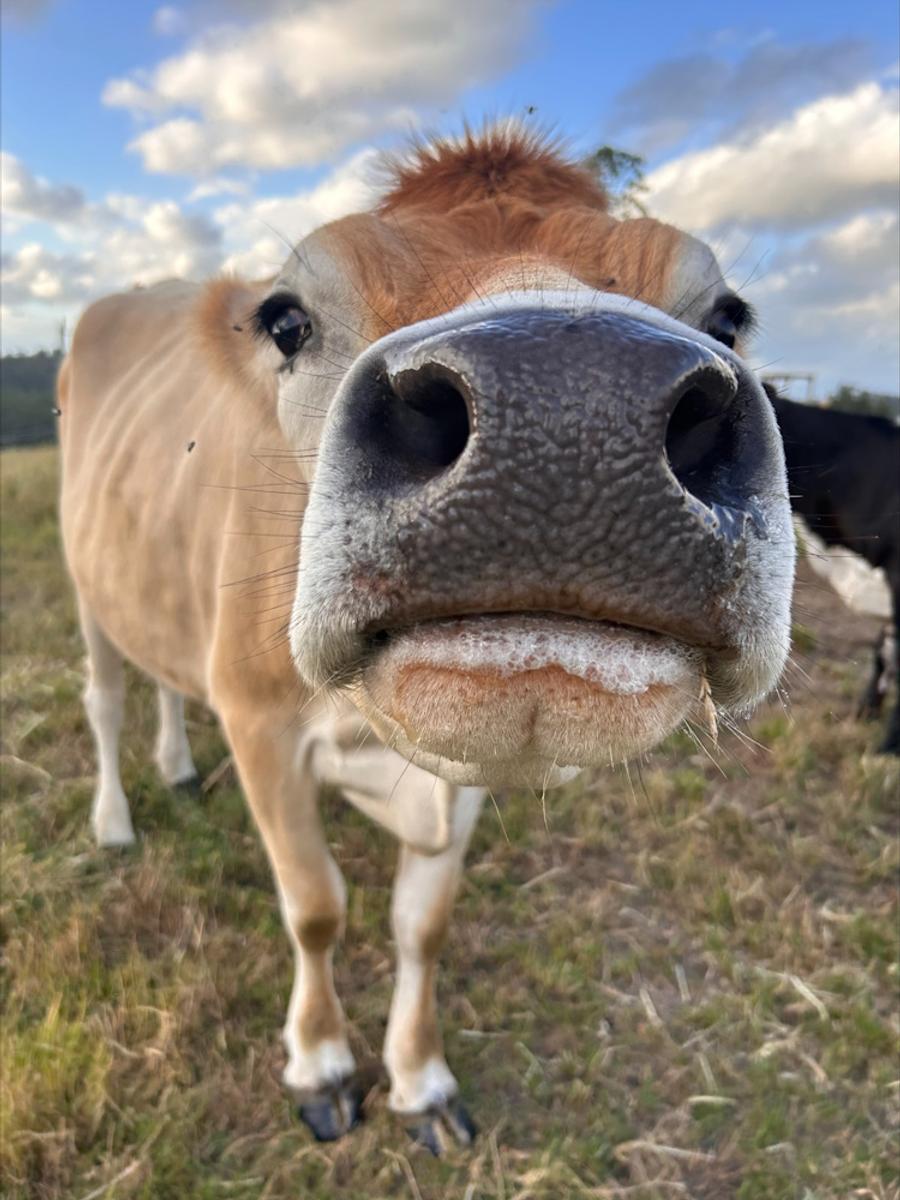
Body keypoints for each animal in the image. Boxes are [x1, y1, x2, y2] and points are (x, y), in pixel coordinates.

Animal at [58, 126, 795, 1151]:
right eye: (286, 321)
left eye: (726, 318)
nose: (568, 408)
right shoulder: (257, 719)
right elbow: (316, 908)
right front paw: (321, 1064)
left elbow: (423, 926)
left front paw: (421, 1079)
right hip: (83, 579)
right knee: (107, 696)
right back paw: (116, 822)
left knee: (162, 674)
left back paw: (172, 768)